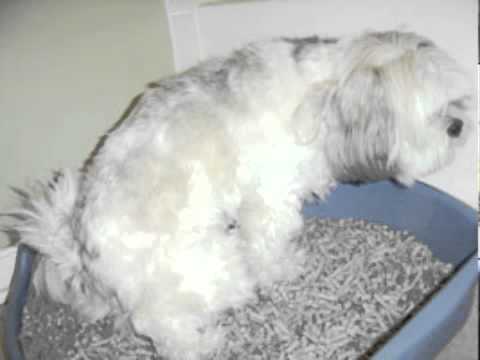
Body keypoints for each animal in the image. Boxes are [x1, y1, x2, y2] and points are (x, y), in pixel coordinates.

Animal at [6, 31, 472, 360]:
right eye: (429, 114)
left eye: (454, 101)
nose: (458, 125)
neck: (325, 94)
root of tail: (80, 246)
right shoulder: (271, 204)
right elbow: (270, 248)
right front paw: (284, 269)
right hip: (210, 265)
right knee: (167, 329)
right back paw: (206, 342)